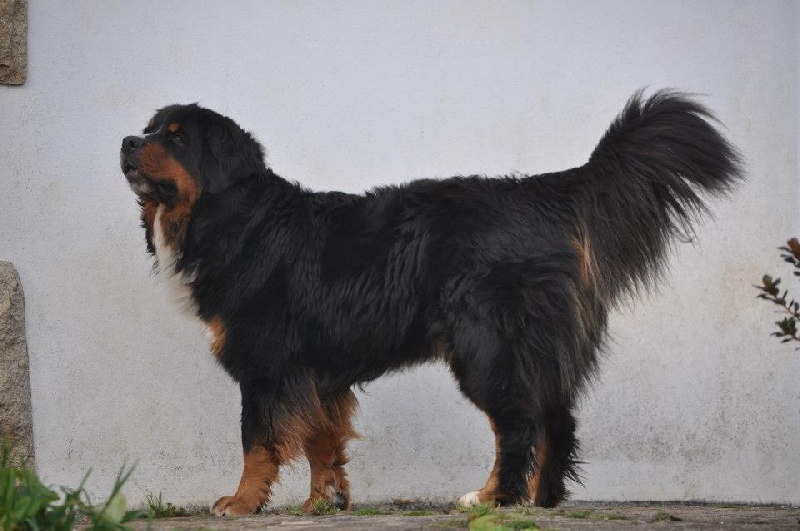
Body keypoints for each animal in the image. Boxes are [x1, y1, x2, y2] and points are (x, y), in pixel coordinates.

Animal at [122, 91, 740, 516]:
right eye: (150, 127)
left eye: (175, 137)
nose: (127, 142)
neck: (231, 218)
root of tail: (543, 191)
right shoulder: (315, 370)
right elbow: (322, 442)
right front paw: (323, 502)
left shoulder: (267, 364)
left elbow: (257, 442)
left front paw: (242, 503)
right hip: (523, 350)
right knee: (552, 420)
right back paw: (535, 499)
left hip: (490, 347)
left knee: (519, 425)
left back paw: (500, 499)